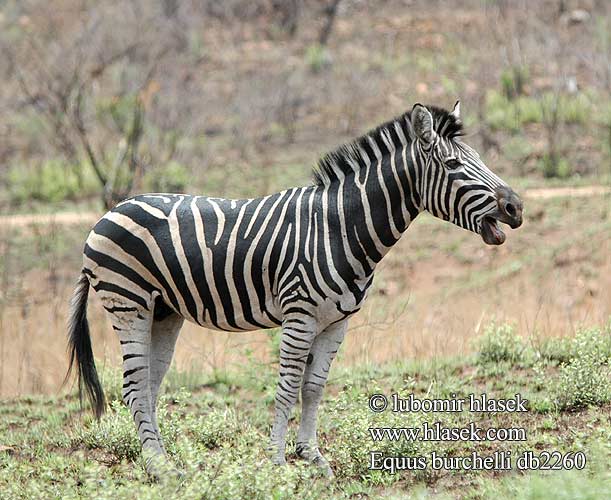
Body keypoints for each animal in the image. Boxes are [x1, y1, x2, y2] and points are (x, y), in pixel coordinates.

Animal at [68, 100, 524, 476]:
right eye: (452, 165)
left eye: (480, 159)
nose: (516, 207)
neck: (341, 228)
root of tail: (108, 213)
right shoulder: (300, 314)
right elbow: (287, 387)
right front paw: (277, 461)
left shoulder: (336, 321)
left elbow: (314, 387)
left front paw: (312, 457)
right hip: (128, 303)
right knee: (133, 386)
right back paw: (158, 469)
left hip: (164, 312)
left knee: (148, 385)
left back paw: (163, 463)